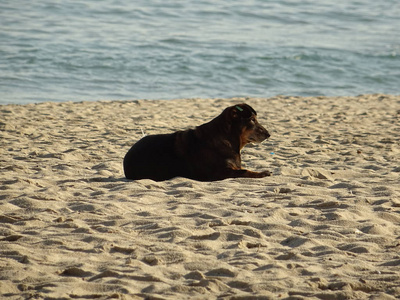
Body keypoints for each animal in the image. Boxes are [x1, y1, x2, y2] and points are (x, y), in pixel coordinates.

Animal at [122, 103, 272, 180]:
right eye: (252, 120)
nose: (268, 134)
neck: (227, 137)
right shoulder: (218, 173)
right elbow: (244, 171)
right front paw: (261, 173)